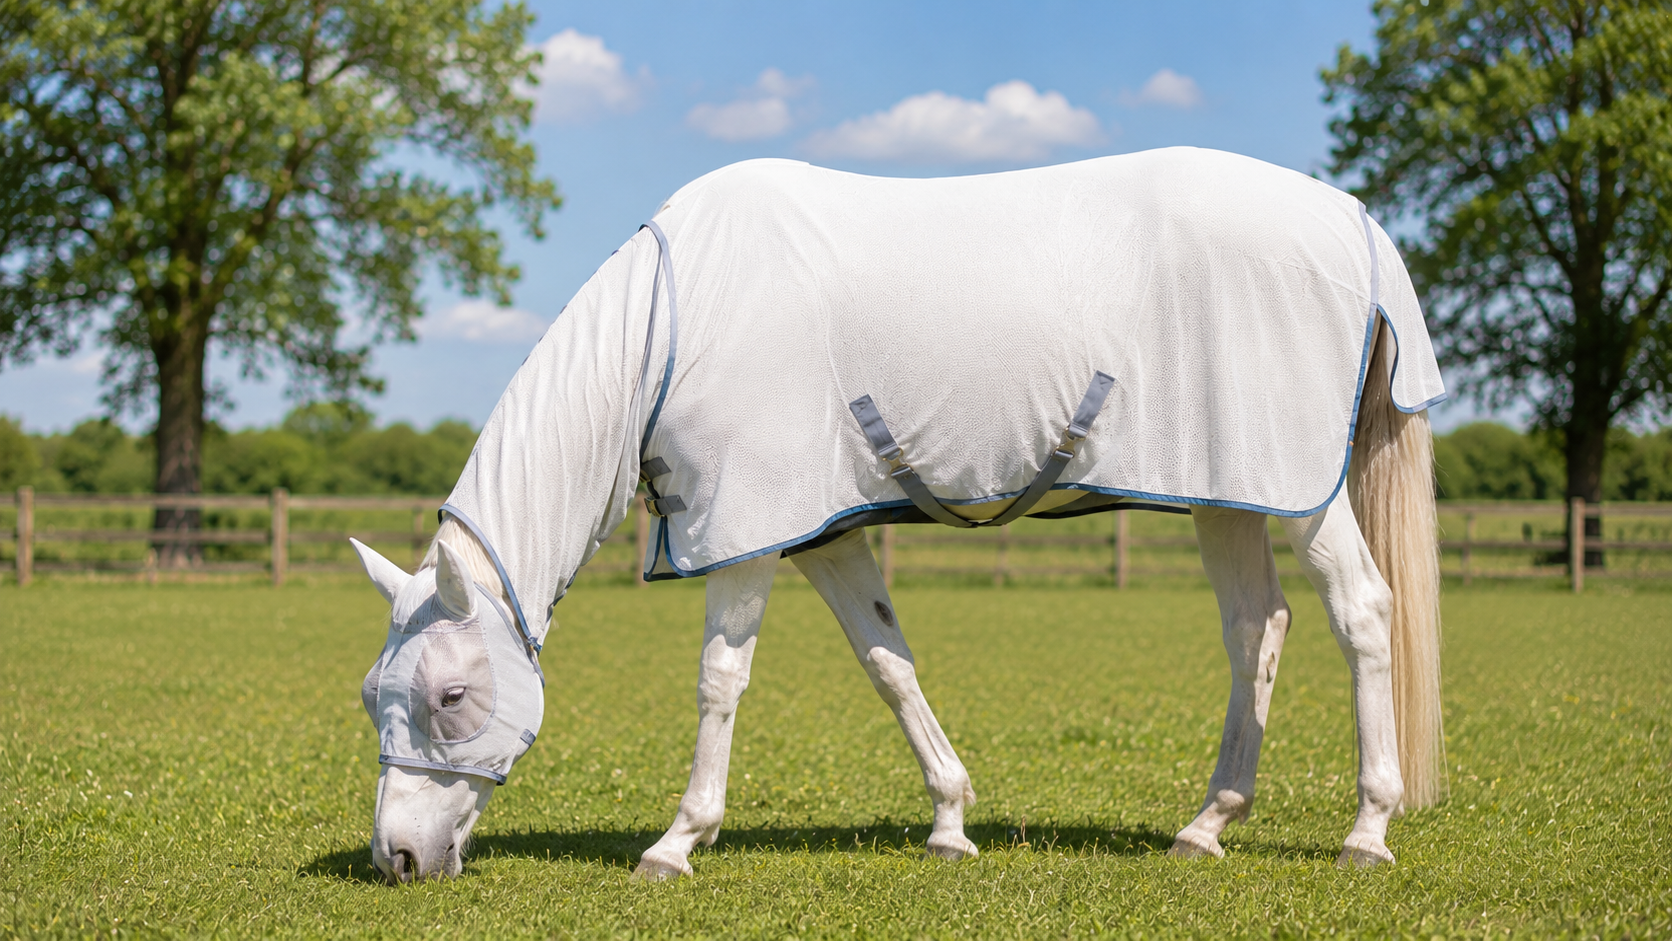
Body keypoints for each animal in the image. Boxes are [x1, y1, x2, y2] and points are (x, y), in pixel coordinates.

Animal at [348, 147, 1446, 883]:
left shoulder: (747, 535)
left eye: (451, 694)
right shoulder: (823, 538)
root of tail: (1353, 220)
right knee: (1256, 627)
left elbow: (719, 679)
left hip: (1304, 501)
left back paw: (1365, 830)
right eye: (371, 694)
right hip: (1231, 497)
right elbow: (888, 662)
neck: (670, 331)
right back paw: (1205, 824)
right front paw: (950, 821)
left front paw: (677, 839)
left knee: (1360, 612)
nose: (396, 856)